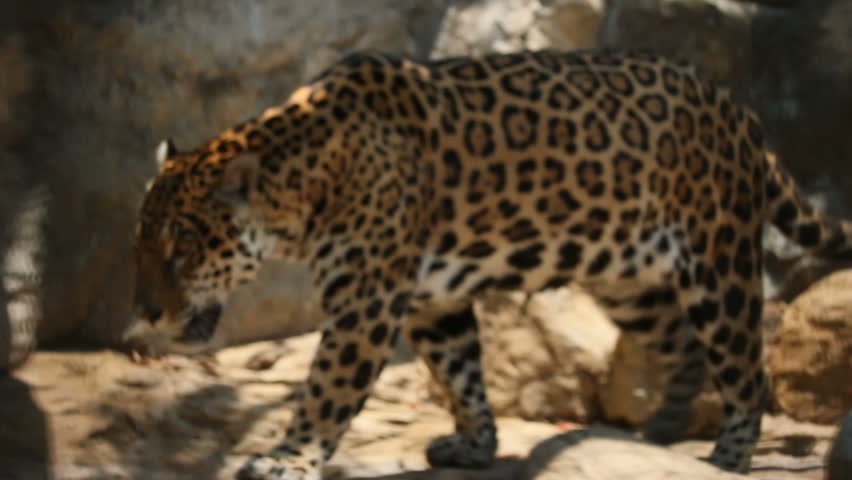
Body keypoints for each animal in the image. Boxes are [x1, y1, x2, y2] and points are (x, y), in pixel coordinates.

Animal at [127, 48, 852, 479]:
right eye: (142, 244)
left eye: (184, 247)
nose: (148, 312)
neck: (303, 181)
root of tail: (739, 109)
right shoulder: (432, 298)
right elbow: (462, 374)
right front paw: (475, 445)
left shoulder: (367, 301)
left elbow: (328, 388)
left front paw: (289, 457)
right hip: (626, 271)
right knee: (679, 340)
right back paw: (661, 430)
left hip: (717, 257)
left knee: (745, 362)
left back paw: (729, 453)